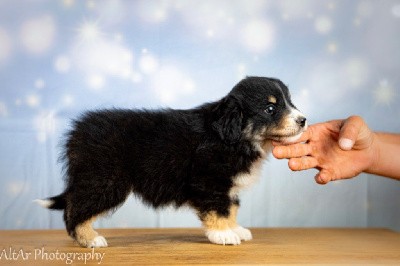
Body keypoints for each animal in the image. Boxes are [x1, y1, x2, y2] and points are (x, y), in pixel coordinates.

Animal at [36, 76, 306, 247]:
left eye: (290, 102)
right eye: (270, 109)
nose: (303, 120)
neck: (236, 137)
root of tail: (77, 135)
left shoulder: (227, 186)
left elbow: (231, 207)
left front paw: (235, 229)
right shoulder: (209, 181)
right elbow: (219, 209)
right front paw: (223, 235)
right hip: (104, 180)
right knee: (75, 208)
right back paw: (90, 239)